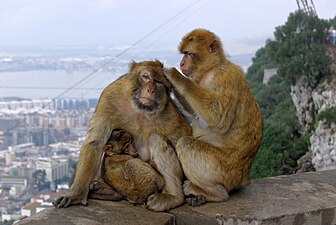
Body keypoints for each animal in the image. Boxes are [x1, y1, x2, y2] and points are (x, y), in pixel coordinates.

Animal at [53, 59, 193, 211]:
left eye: (158, 82)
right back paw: (105, 191)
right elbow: (96, 142)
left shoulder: (170, 113)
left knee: (156, 138)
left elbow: (182, 137)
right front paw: (76, 194)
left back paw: (173, 197)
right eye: (146, 76)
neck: (140, 109)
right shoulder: (110, 97)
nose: (151, 89)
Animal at [164, 29, 264, 207]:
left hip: (222, 170)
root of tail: (243, 179)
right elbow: (196, 113)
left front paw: (176, 77)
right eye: (183, 54)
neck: (211, 69)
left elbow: (217, 118)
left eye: (188, 54)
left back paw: (214, 193)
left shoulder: (225, 77)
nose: (181, 64)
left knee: (186, 144)